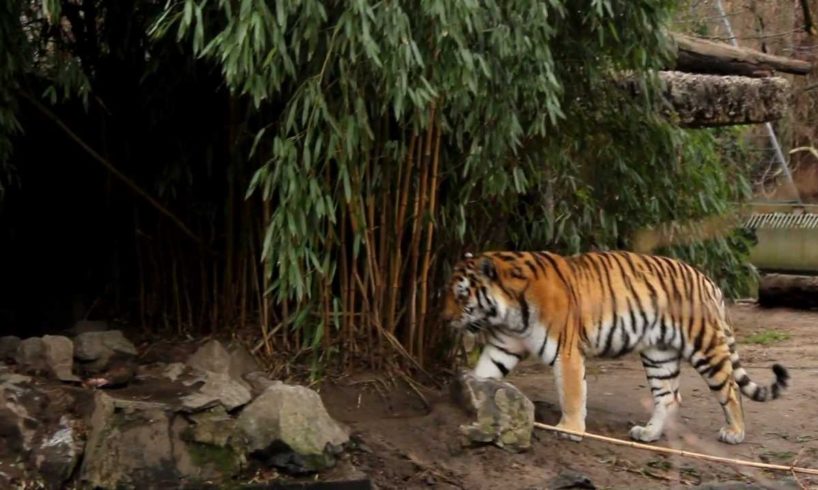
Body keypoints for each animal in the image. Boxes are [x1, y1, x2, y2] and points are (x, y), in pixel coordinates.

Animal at [444, 251, 788, 446]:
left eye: (461, 295)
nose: (445, 318)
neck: (507, 311)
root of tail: (708, 281)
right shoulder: (503, 345)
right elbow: (485, 371)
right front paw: (473, 394)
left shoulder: (566, 351)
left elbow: (571, 394)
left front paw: (570, 429)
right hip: (659, 355)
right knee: (669, 396)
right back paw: (648, 434)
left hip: (705, 347)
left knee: (730, 390)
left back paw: (735, 433)